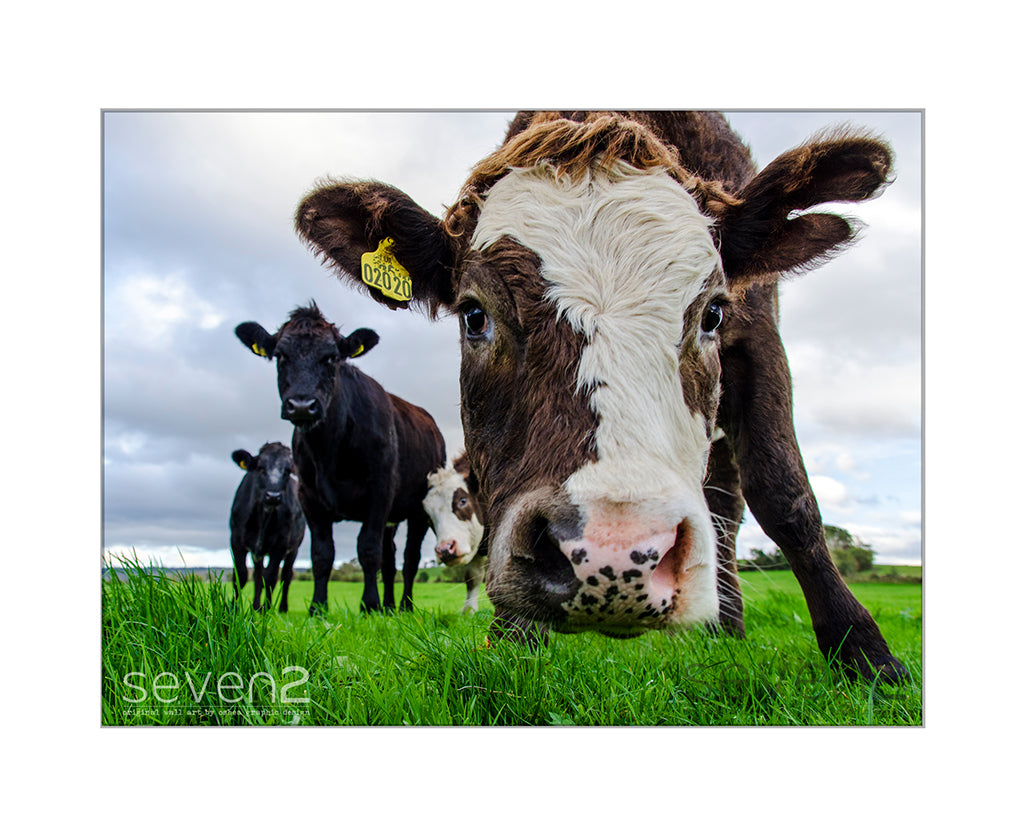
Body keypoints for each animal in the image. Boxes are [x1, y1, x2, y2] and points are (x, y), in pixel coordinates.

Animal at [229, 442, 305, 613]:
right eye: (260, 468)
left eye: (287, 471)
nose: (273, 496)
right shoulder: (236, 540)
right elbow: (241, 575)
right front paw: (232, 609)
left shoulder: (280, 545)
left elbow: (270, 577)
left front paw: (267, 610)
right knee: (257, 576)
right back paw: (256, 606)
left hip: (294, 549)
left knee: (286, 576)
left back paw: (281, 608)